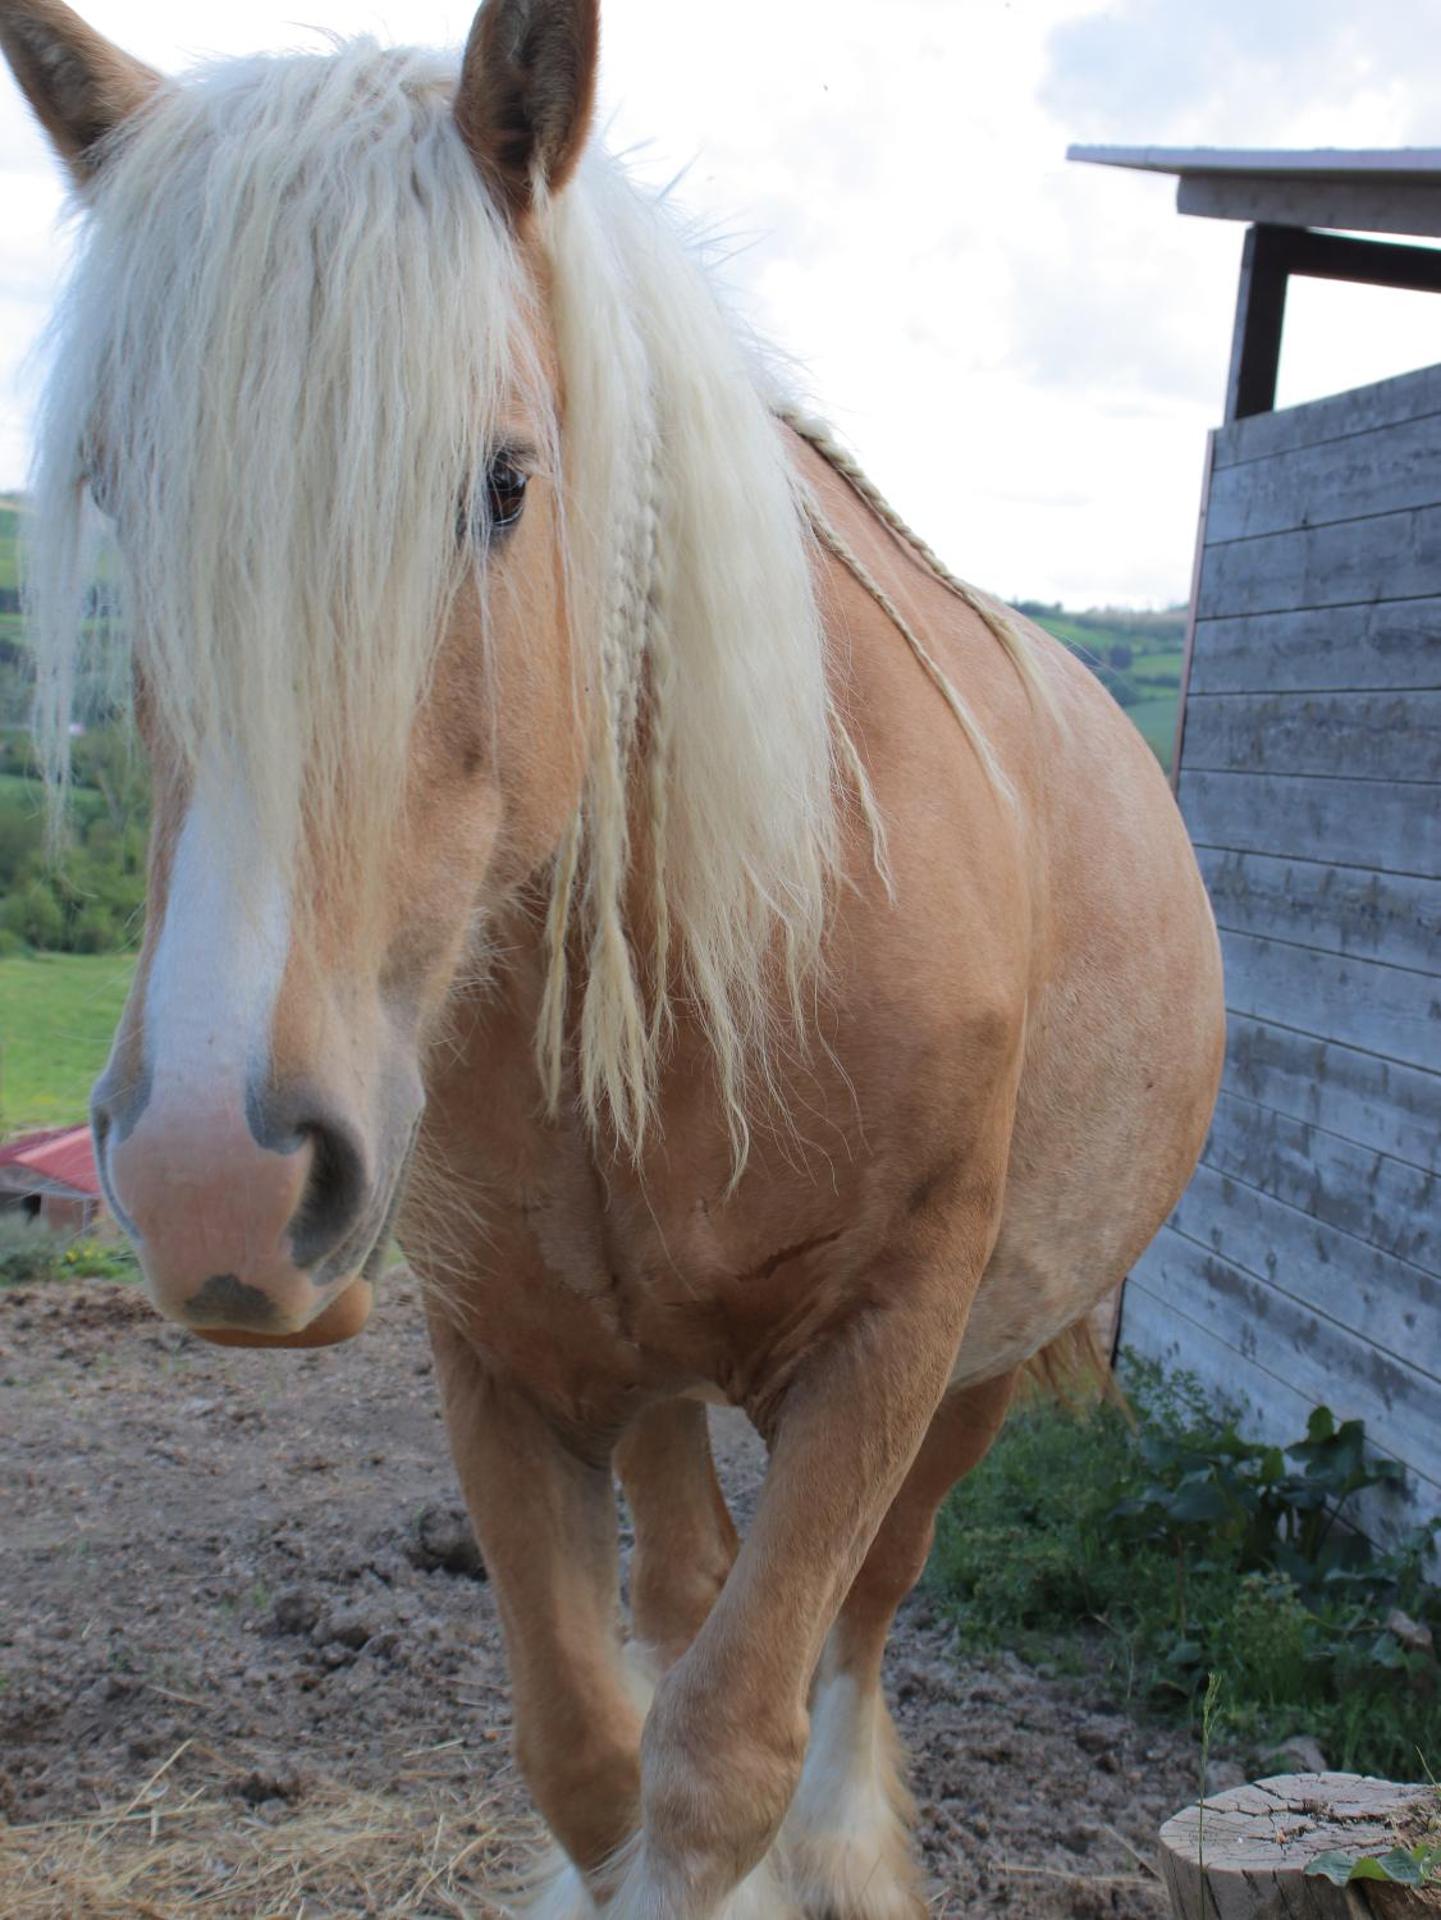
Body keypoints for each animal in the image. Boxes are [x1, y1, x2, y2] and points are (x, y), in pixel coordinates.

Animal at [2, 1, 1225, 1912]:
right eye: (127, 495)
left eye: (504, 483)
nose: (214, 1176)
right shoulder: (509, 1357)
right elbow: (593, 1755)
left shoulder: (891, 1345)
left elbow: (730, 1751)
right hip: (634, 1360)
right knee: (690, 1582)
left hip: (988, 1363)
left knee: (857, 1618)